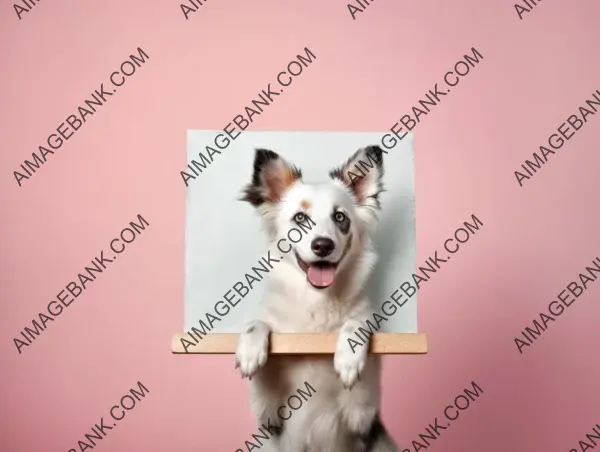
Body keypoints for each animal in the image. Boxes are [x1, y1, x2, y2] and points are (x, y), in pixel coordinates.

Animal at [236, 146, 398, 452]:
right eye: (300, 218)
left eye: (340, 217)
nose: (323, 245)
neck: (317, 302)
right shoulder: (269, 415)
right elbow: (258, 327)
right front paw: (250, 351)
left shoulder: (362, 415)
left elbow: (359, 323)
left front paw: (349, 357)